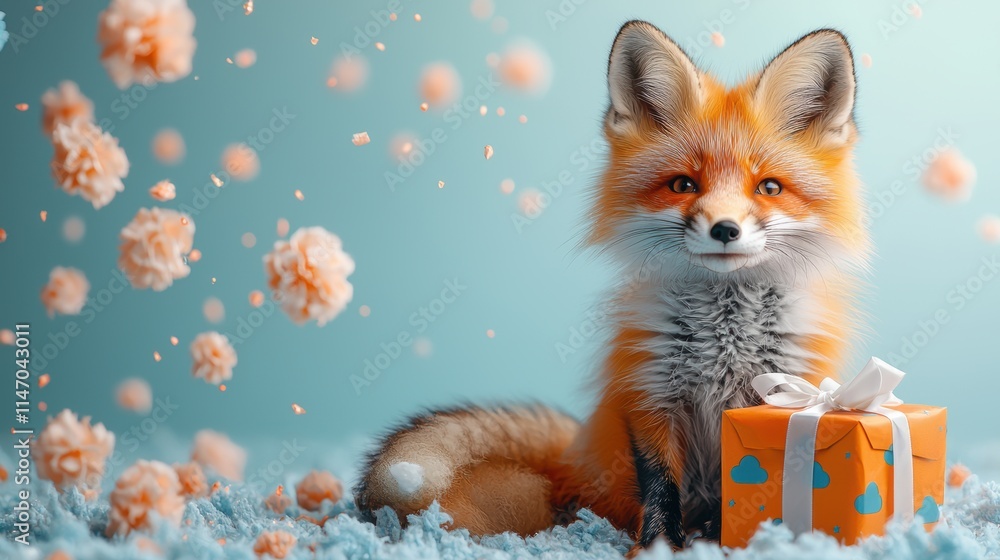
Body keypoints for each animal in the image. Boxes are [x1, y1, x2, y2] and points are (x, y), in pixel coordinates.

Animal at [355, 21, 870, 553]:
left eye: (769, 188)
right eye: (683, 185)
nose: (725, 229)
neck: (724, 340)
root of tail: (573, 456)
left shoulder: (773, 400)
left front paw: (722, 539)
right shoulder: (648, 394)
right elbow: (660, 483)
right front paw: (659, 546)